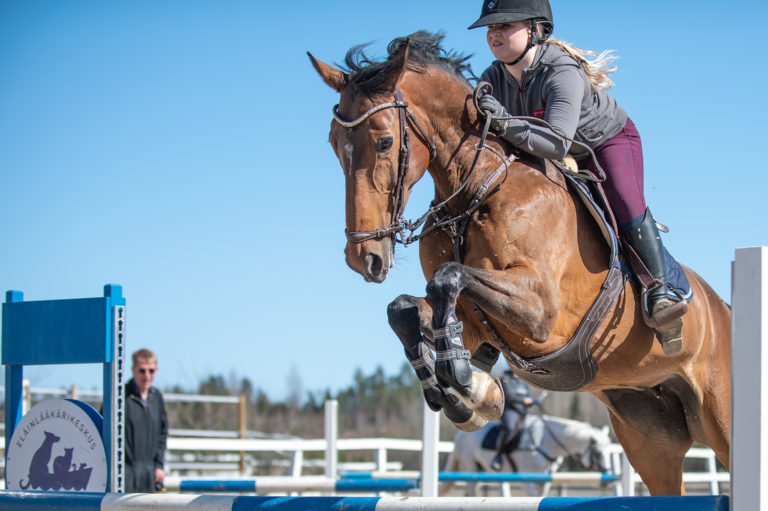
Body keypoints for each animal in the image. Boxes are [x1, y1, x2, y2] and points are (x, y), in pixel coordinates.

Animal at [444, 416, 612, 496]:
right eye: (598, 453)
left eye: (609, 451)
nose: (607, 476)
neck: (545, 441)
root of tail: (459, 436)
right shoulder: (527, 478)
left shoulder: (545, 481)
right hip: (471, 469)